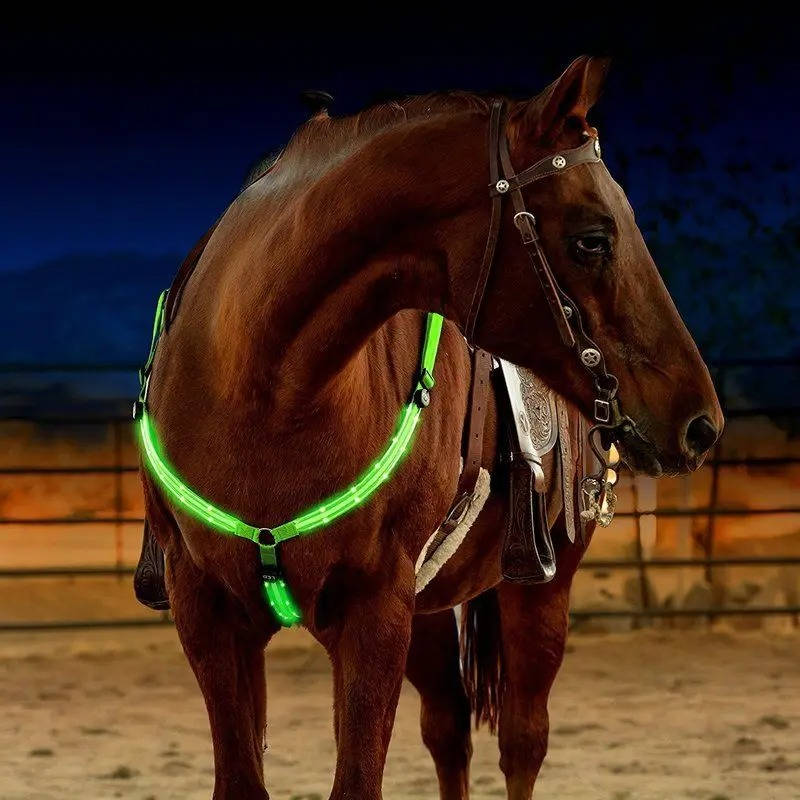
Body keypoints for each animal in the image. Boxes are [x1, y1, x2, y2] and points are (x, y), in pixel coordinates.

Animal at [139, 55, 723, 799]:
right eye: (592, 239)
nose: (700, 424)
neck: (263, 390)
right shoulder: (209, 612)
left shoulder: (374, 613)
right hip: (428, 614)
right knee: (449, 730)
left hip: (539, 589)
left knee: (522, 740)